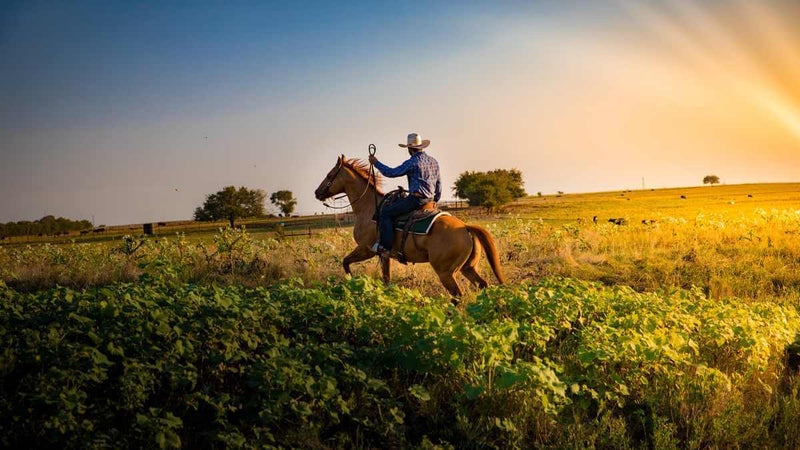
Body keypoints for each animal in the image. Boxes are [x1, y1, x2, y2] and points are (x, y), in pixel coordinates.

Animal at [316, 155, 504, 296]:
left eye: (330, 175)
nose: (317, 192)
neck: (369, 208)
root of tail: (465, 228)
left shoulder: (367, 249)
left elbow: (345, 262)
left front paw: (352, 283)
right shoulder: (384, 255)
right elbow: (386, 279)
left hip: (446, 272)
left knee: (457, 295)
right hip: (467, 268)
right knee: (482, 285)